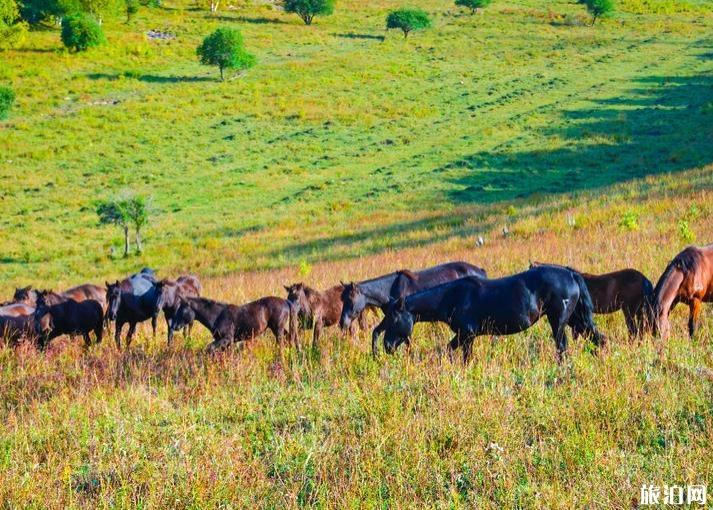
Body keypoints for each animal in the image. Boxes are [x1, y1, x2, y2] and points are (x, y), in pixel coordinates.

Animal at [376, 266, 604, 362]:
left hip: (559, 321)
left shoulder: (466, 335)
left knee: (562, 346)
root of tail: (571, 275)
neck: (452, 297)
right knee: (598, 338)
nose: (387, 346)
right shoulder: (465, 337)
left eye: (394, 319)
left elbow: (459, 356)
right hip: (576, 319)